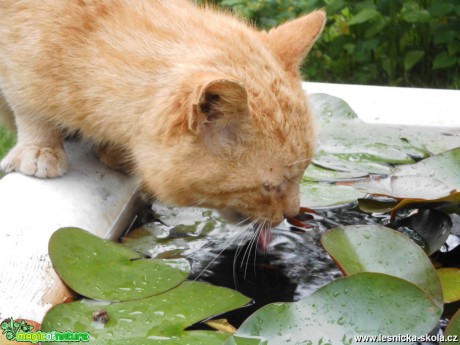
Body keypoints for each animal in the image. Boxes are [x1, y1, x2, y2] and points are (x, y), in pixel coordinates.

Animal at [0, 1, 324, 227]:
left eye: (303, 174)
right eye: (270, 187)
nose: (292, 212)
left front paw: (115, 153)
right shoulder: (19, 58)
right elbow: (28, 104)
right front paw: (41, 147)